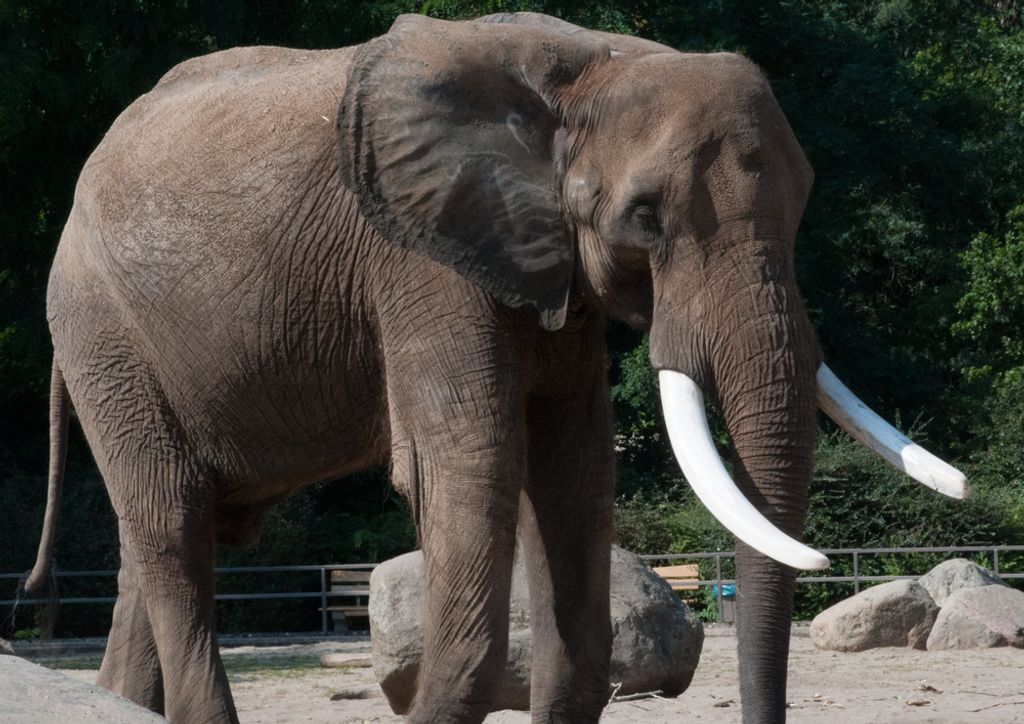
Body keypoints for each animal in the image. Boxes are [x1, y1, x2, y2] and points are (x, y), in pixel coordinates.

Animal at [25, 11, 967, 724]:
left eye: (805, 203)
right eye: (646, 216)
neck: (590, 63)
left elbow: (573, 471)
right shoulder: (421, 257)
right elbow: (468, 464)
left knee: (158, 539)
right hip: (100, 327)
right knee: (172, 526)